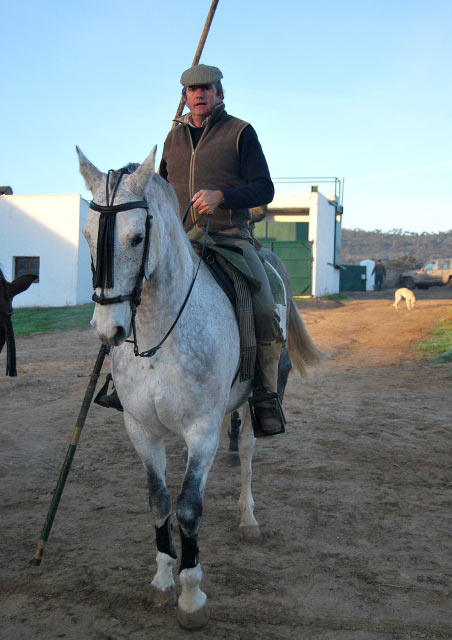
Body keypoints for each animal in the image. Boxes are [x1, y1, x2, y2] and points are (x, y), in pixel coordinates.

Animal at [77, 149, 322, 632]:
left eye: (137, 238)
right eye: (87, 235)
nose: (108, 330)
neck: (161, 332)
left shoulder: (201, 431)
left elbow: (189, 507)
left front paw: (191, 597)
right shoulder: (141, 430)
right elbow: (159, 501)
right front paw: (162, 579)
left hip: (254, 403)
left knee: (247, 453)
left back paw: (248, 519)